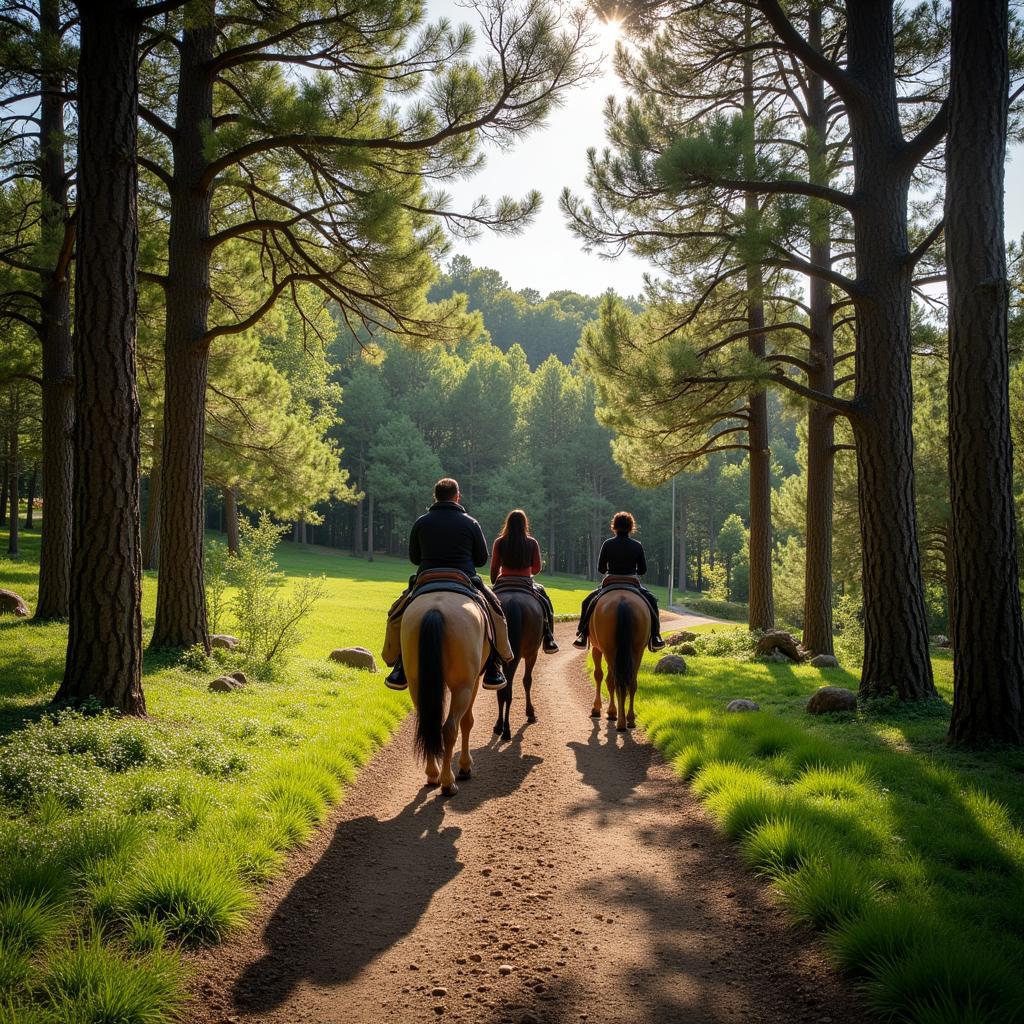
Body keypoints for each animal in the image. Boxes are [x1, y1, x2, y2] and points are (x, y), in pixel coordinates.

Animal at [399, 589, 487, 794]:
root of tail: (435, 609)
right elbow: (467, 722)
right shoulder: (473, 682)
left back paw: (433, 775)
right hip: (462, 687)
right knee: (450, 728)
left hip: (416, 684)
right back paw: (448, 782)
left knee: (428, 723)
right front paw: (465, 765)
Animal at [493, 589, 544, 741]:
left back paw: (499, 726)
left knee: (502, 688)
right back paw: (507, 730)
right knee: (508, 689)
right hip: (516, 656)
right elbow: (527, 681)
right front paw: (530, 713)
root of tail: (512, 603)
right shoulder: (532, 654)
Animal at [589, 589, 643, 733]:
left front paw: (598, 708)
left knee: (614, 681)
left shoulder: (596, 648)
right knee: (631, 682)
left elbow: (599, 675)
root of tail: (622, 601)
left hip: (609, 650)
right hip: (637, 651)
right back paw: (629, 720)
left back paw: (619, 720)